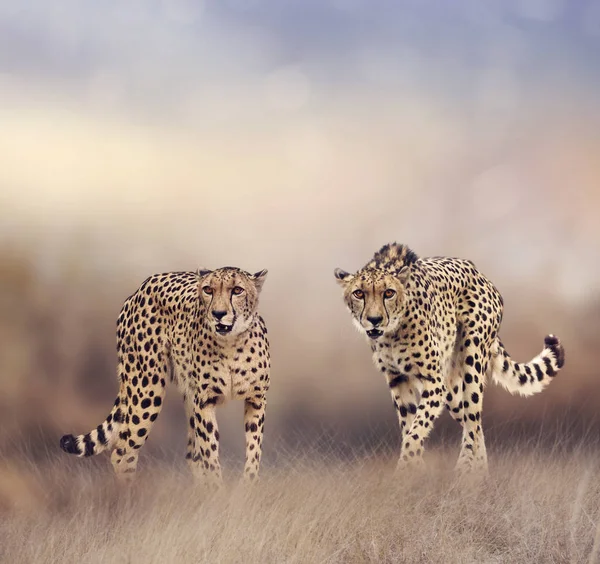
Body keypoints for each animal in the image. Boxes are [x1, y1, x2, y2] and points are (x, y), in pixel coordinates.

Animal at [59, 266, 270, 486]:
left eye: (237, 290)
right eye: (208, 290)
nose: (218, 314)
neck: (231, 343)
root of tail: (140, 288)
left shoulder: (256, 399)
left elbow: (253, 450)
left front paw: (248, 486)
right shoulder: (204, 402)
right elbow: (210, 453)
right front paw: (218, 490)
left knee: (191, 454)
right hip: (147, 389)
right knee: (123, 452)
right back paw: (129, 492)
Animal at [336, 245, 564, 474]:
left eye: (388, 293)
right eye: (359, 293)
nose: (374, 320)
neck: (392, 331)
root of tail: (478, 271)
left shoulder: (434, 381)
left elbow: (416, 430)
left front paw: (405, 467)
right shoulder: (398, 379)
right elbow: (409, 426)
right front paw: (413, 469)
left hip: (472, 361)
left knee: (473, 421)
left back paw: (465, 472)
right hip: (451, 389)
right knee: (474, 425)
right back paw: (480, 474)